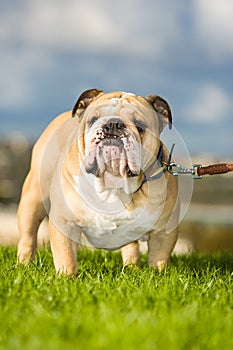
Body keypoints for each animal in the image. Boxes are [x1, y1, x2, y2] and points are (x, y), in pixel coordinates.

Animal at [17, 89, 179, 274]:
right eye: (93, 120)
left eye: (140, 126)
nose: (113, 124)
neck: (113, 183)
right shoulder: (65, 222)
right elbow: (66, 258)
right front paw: (67, 277)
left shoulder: (164, 232)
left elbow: (158, 260)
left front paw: (155, 275)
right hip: (34, 196)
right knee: (28, 235)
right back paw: (24, 264)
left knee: (131, 246)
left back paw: (131, 267)